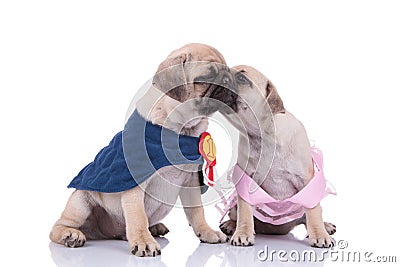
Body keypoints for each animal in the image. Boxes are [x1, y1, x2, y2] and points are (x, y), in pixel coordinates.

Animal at [50, 44, 238, 258]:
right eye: (207, 77)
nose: (229, 79)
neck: (179, 130)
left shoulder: (191, 181)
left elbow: (197, 211)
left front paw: (206, 231)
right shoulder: (135, 184)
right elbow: (137, 216)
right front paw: (143, 242)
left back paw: (153, 228)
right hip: (81, 201)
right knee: (59, 226)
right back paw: (71, 235)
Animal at [220, 65, 336, 249]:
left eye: (241, 78)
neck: (264, 136)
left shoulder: (306, 181)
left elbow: (313, 211)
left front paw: (319, 234)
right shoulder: (246, 182)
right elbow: (244, 211)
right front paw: (243, 233)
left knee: (310, 216)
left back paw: (325, 226)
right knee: (235, 214)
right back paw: (231, 225)